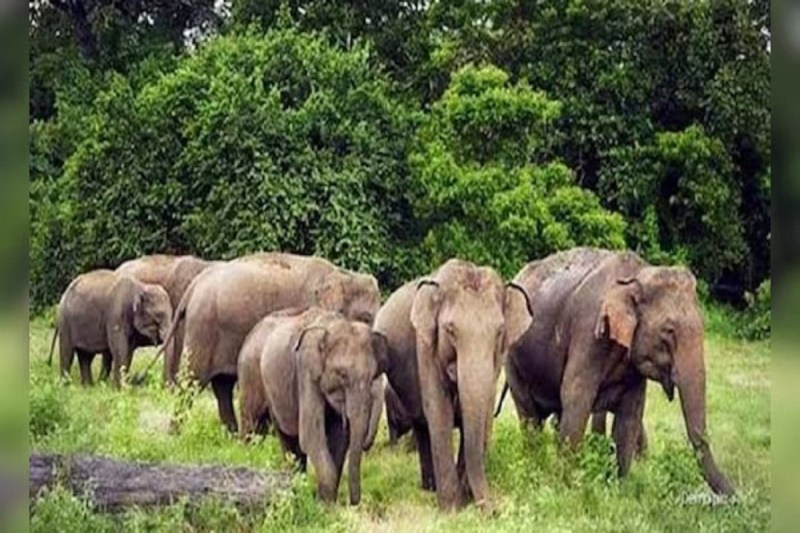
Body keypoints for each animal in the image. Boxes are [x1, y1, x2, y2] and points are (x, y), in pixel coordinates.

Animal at [162, 252, 381, 432]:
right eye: (367, 318)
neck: (343, 274)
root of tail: (194, 286)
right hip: (203, 329)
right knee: (192, 381)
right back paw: (175, 434)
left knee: (223, 385)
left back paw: (231, 435)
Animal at [237, 307, 387, 504]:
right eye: (342, 374)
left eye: (372, 376)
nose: (353, 502)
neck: (332, 325)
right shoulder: (306, 371)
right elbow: (311, 435)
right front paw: (325, 504)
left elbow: (339, 439)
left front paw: (325, 501)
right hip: (249, 373)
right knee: (252, 426)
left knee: (287, 438)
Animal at [373, 259, 533, 510]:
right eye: (450, 330)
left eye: (499, 331)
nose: (493, 510)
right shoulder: (425, 346)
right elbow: (440, 413)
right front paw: (451, 508)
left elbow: (482, 414)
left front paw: (464, 499)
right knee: (423, 426)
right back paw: (429, 488)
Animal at [503, 247, 734, 495]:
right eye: (668, 330)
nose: (737, 496)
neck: (638, 275)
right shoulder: (588, 333)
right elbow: (576, 397)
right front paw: (568, 489)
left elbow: (630, 414)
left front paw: (620, 491)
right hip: (512, 359)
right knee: (530, 418)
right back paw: (532, 468)